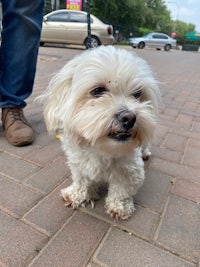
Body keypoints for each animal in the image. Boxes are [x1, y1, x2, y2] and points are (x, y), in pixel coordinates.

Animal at [40, 46, 159, 221]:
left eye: (137, 94)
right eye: (97, 90)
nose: (129, 118)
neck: (100, 147)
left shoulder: (130, 170)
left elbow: (121, 190)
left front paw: (119, 206)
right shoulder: (78, 163)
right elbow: (81, 180)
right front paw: (77, 195)